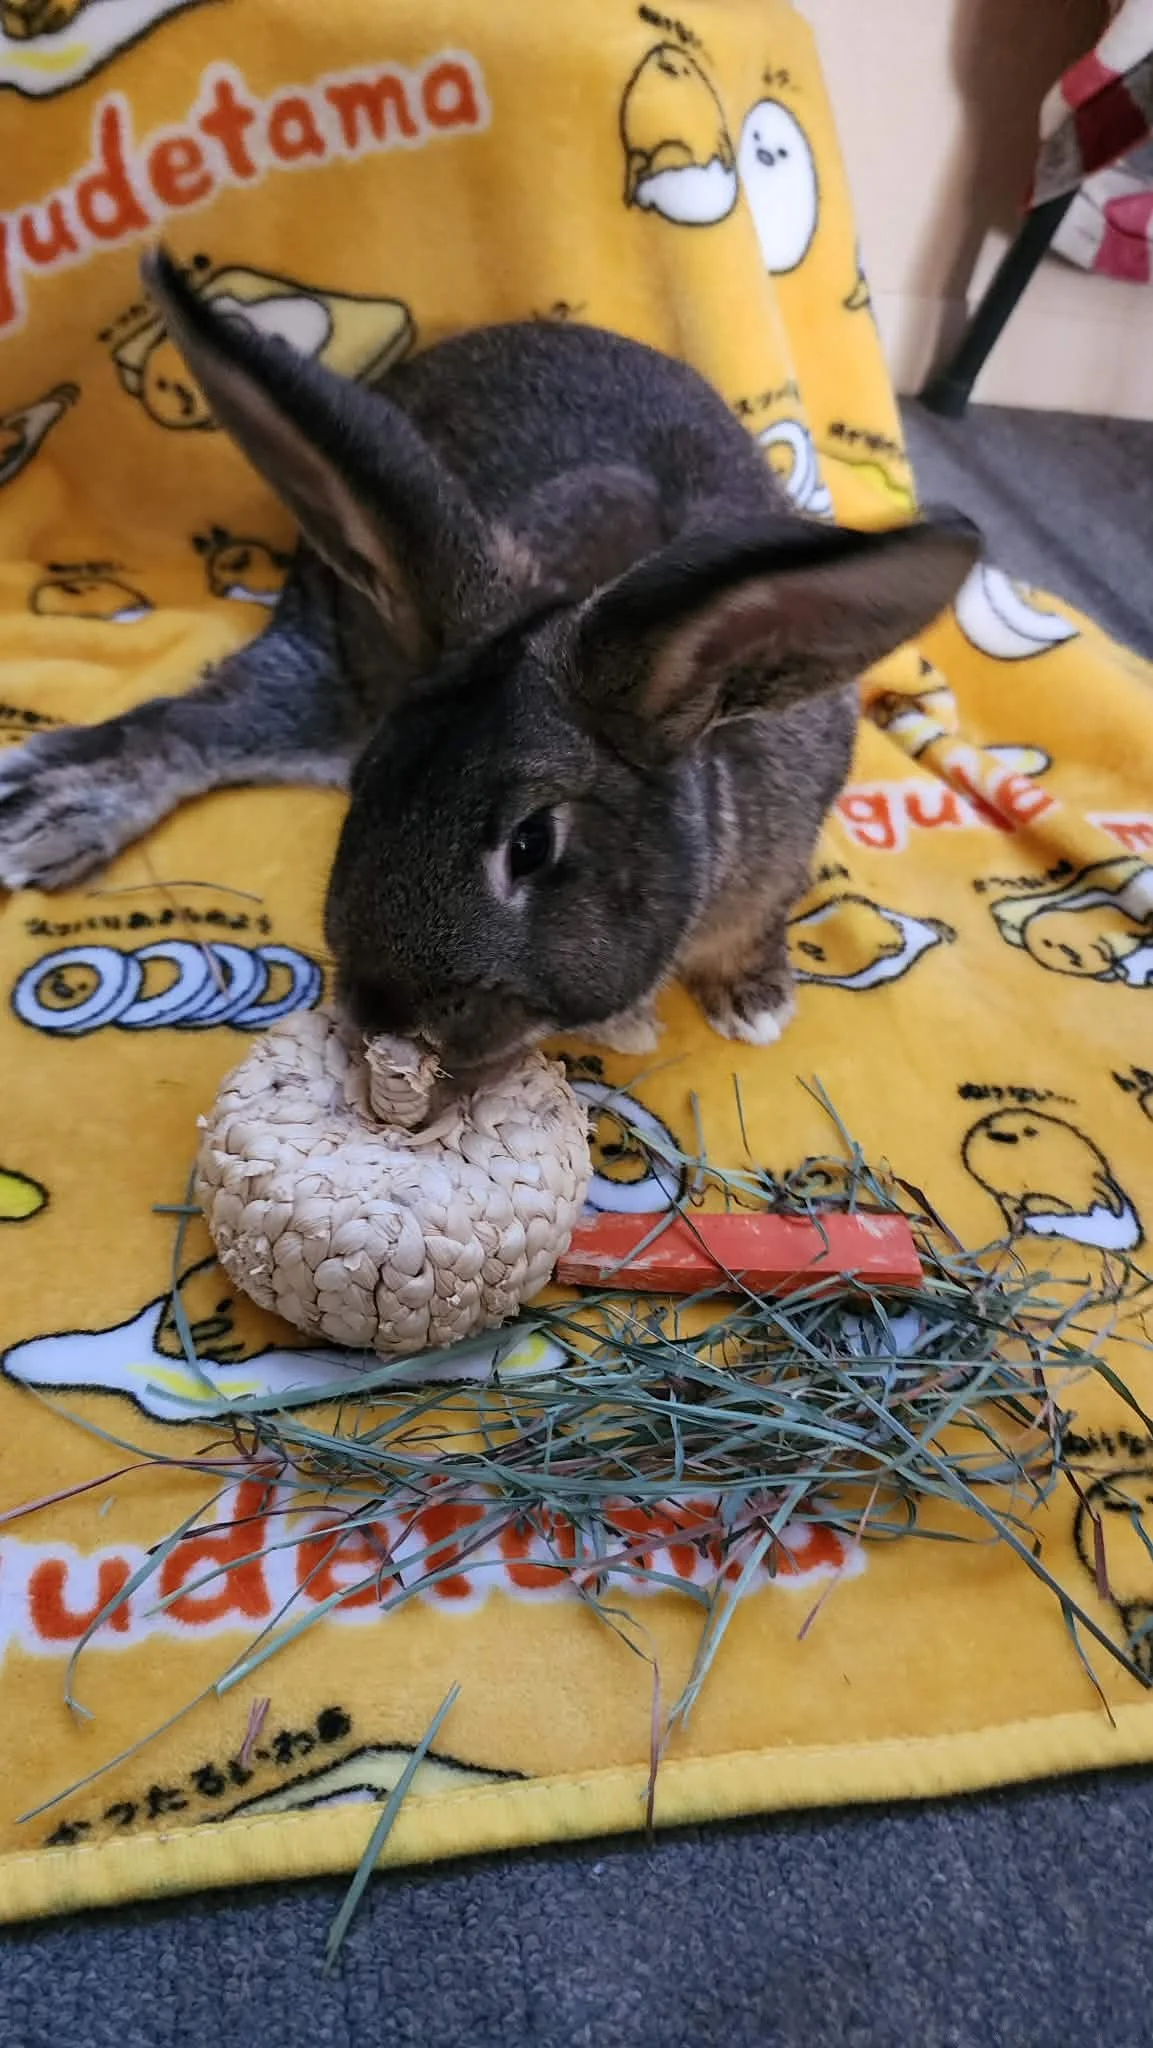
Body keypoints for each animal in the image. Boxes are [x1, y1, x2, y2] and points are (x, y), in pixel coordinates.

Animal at [0, 245, 979, 1073]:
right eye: (370, 791)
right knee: (195, 729)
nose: (382, 1015)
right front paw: (633, 1024)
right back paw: (46, 814)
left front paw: (753, 998)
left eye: (532, 845)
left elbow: (758, 922)